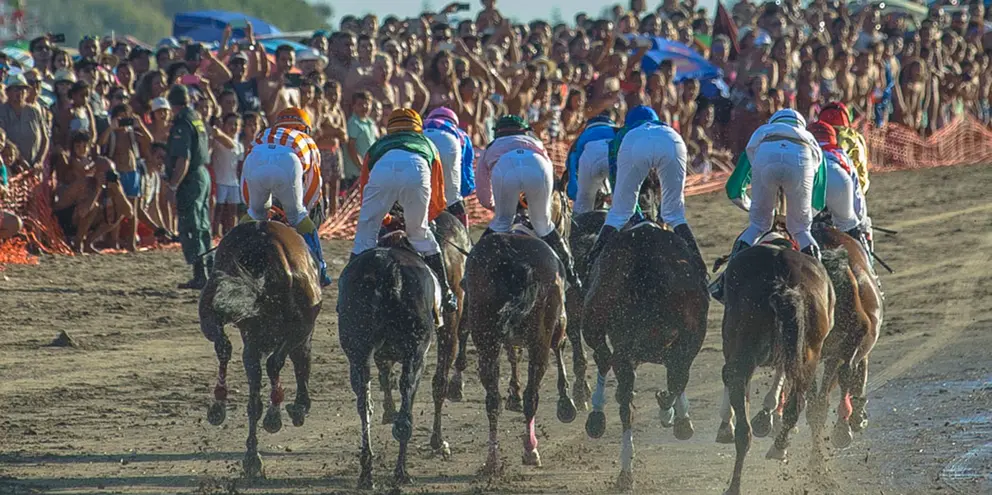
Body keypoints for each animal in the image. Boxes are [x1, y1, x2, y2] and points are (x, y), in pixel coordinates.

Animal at [198, 220, 322, 479]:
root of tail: (266, 241)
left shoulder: (253, 341)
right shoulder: (303, 334)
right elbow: (300, 364)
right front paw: (299, 407)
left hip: (211, 311)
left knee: (225, 349)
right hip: (299, 327)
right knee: (274, 363)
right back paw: (273, 415)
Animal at [337, 231, 440, 488]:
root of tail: (388, 269)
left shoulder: (379, 355)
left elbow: (383, 381)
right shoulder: (418, 357)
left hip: (358, 349)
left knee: (364, 401)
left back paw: (367, 471)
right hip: (415, 351)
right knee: (406, 403)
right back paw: (400, 472)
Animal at [462, 216, 576, 474]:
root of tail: (512, 258)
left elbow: (513, 355)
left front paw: (513, 392)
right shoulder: (558, 323)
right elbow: (560, 346)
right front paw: (567, 402)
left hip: (484, 336)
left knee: (492, 399)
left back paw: (492, 459)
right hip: (539, 339)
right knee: (532, 395)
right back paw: (530, 450)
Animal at [580, 219, 709, 491]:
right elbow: (675, 379)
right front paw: (674, 413)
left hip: (605, 331)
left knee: (625, 396)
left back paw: (626, 469)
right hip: (687, 338)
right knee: (669, 380)